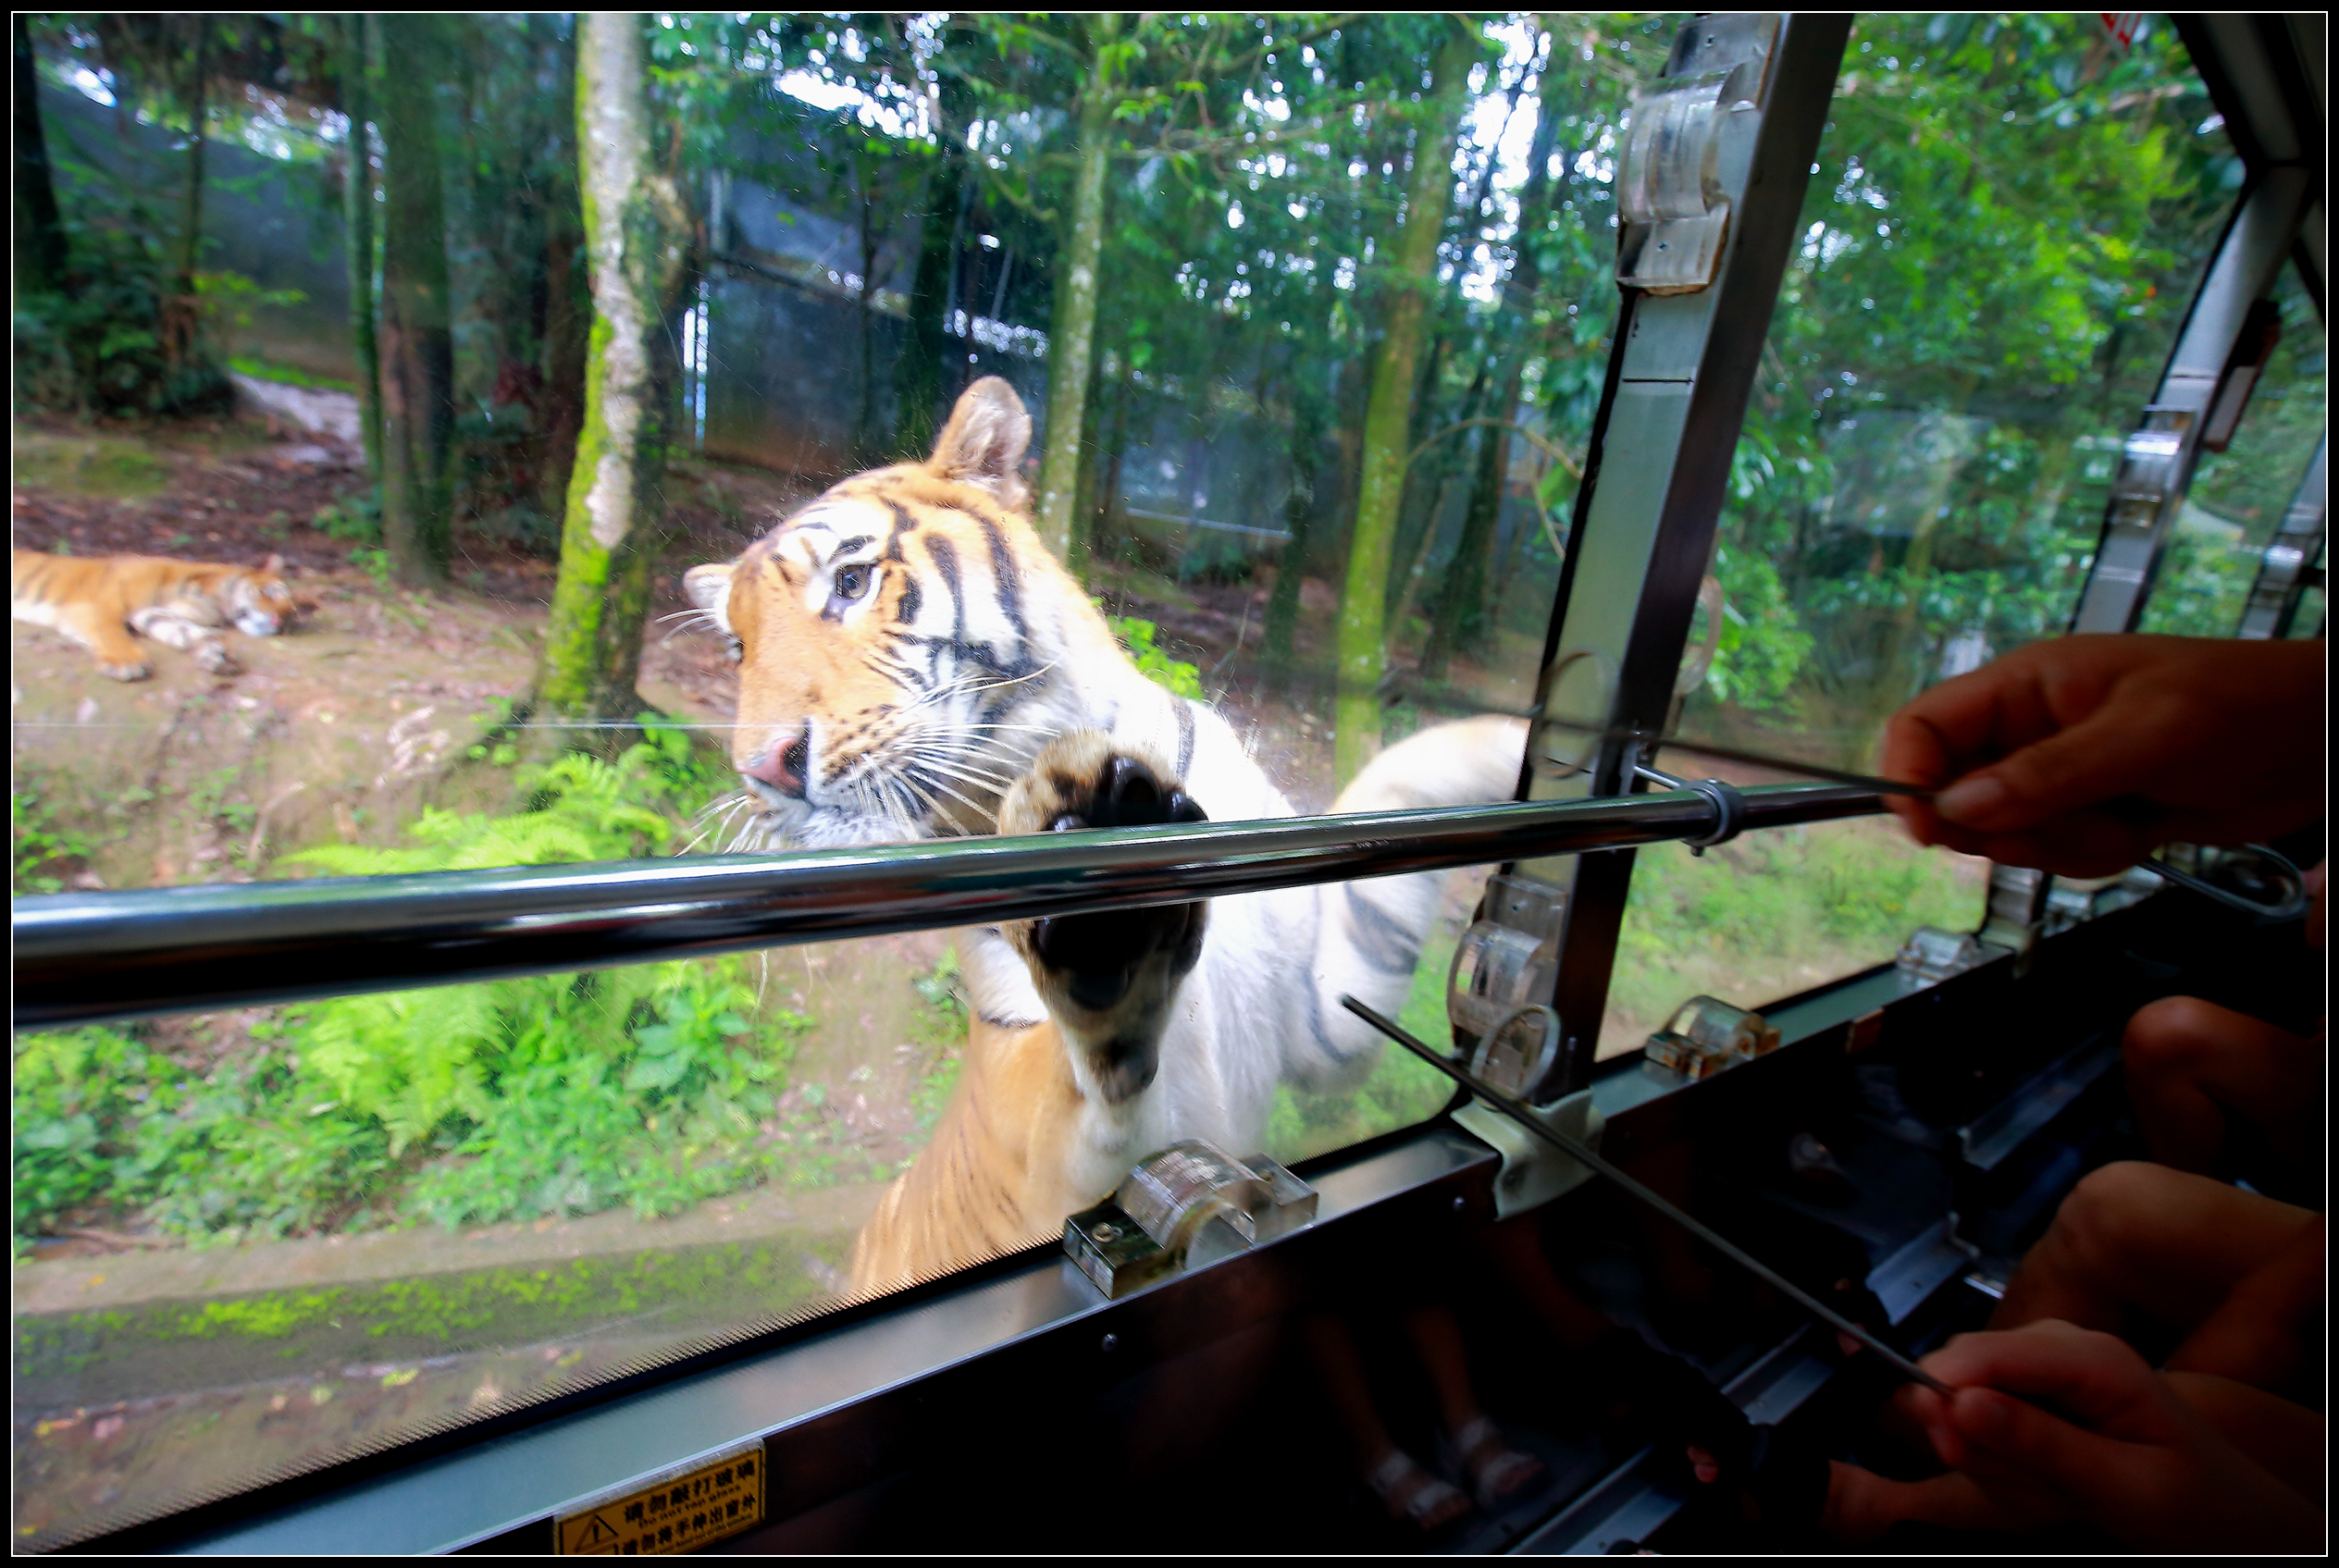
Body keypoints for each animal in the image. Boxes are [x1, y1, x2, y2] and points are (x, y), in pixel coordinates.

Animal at [11, 549, 299, 678]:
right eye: (270, 592)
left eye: (289, 617)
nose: (278, 621)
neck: (207, 598)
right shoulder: (102, 603)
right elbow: (111, 631)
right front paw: (126, 663)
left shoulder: (150, 614)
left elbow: (185, 631)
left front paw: (216, 654)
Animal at [683, 381, 1525, 1301]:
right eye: (737, 645)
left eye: (851, 581)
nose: (762, 766)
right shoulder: (1052, 1134)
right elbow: (1088, 1091)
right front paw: (1104, 897)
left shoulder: (1321, 1018)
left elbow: (1413, 769)